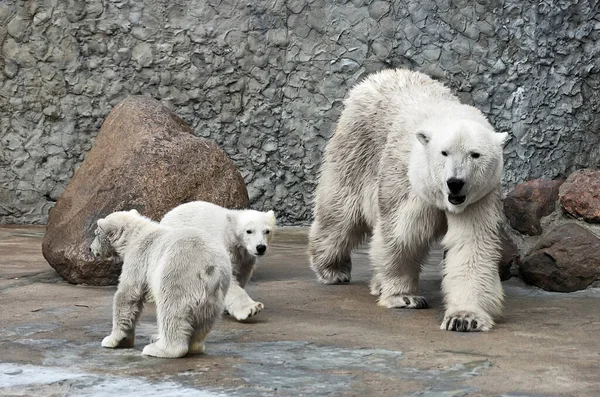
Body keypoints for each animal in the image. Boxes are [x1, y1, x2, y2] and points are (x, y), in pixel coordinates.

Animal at [90, 209, 231, 358]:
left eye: (96, 233)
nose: (90, 249)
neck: (135, 235)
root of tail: (210, 267)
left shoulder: (138, 258)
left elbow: (128, 295)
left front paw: (113, 339)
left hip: (178, 274)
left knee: (171, 310)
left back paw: (158, 349)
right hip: (216, 291)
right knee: (205, 318)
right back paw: (193, 345)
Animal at [308, 69, 508, 332]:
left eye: (475, 154)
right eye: (444, 152)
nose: (455, 182)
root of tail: (376, 77)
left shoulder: (478, 199)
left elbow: (471, 244)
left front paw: (465, 318)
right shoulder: (407, 181)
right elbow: (403, 234)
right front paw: (404, 297)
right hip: (355, 149)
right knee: (341, 212)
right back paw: (332, 269)